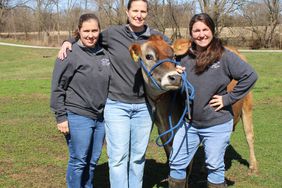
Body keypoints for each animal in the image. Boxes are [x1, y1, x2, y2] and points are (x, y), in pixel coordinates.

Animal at [129, 34, 258, 176]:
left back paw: (253, 166)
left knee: (249, 135)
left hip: (247, 104)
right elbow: (171, 159)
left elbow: (186, 167)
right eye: (149, 56)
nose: (176, 78)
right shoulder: (163, 132)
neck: (165, 114)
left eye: (174, 56)